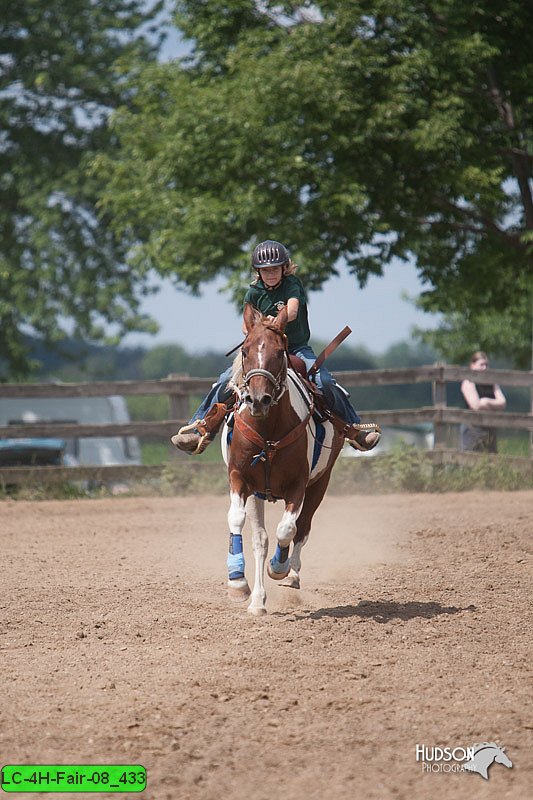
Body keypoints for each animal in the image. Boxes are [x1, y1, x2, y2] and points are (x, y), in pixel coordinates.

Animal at [219, 304, 340, 616]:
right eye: (245, 350)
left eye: (279, 352)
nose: (257, 400)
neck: (268, 433)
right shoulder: (241, 480)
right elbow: (241, 524)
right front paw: (238, 584)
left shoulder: (298, 485)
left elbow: (287, 529)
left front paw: (279, 566)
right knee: (261, 539)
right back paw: (257, 600)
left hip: (321, 482)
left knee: (302, 528)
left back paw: (291, 574)